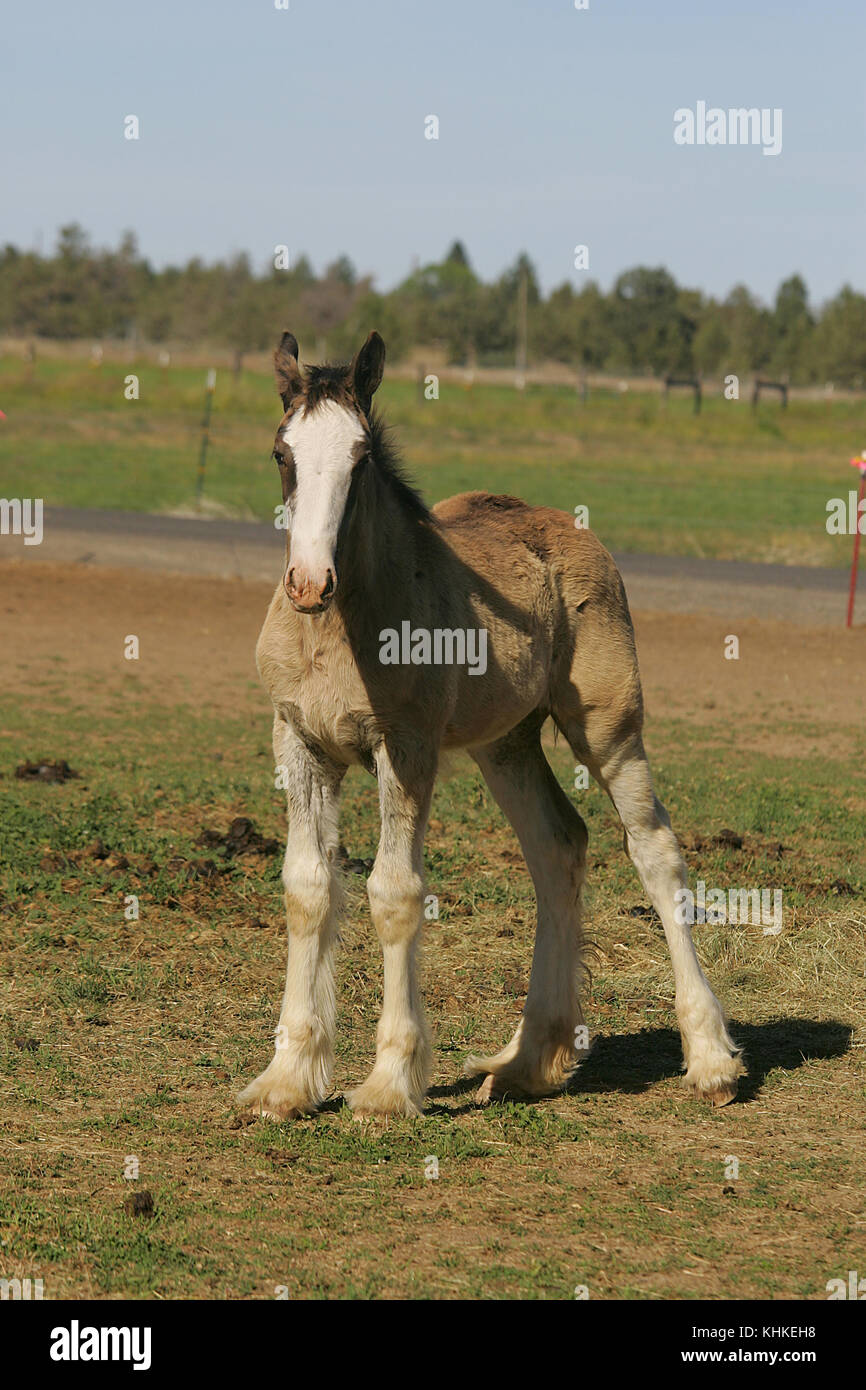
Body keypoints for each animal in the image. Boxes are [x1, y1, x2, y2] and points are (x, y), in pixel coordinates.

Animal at [237, 330, 744, 1120]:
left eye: (360, 457)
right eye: (281, 453)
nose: (309, 582)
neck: (340, 627)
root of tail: (565, 525)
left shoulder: (406, 746)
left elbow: (394, 892)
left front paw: (387, 1086)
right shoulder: (300, 743)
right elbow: (307, 888)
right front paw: (286, 1080)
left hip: (607, 725)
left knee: (654, 849)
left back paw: (712, 1059)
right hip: (503, 744)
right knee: (558, 845)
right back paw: (528, 1061)